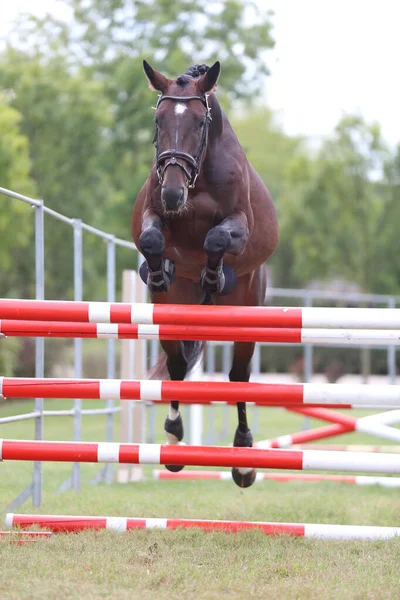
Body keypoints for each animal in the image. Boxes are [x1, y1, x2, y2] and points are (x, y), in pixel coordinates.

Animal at [131, 59, 278, 488]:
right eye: (158, 121)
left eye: (199, 123)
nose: (173, 193)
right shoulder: (153, 213)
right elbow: (150, 237)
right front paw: (157, 270)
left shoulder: (239, 224)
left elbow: (216, 238)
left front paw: (215, 276)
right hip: (172, 313)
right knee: (178, 366)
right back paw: (173, 439)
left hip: (246, 314)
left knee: (239, 375)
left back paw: (243, 459)